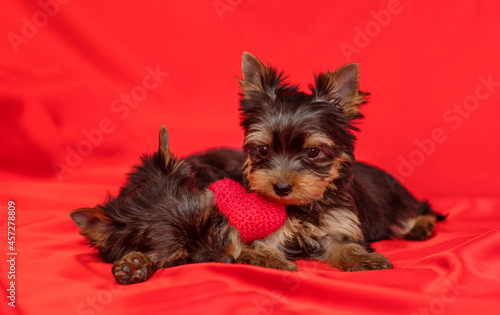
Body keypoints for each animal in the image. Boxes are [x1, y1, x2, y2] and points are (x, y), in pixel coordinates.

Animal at [238, 53, 446, 272]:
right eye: (262, 150)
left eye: (313, 152)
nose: (281, 188)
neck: (304, 205)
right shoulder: (269, 229)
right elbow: (262, 246)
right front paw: (265, 259)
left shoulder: (339, 225)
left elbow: (347, 246)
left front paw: (365, 259)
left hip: (397, 203)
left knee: (417, 212)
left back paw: (421, 226)